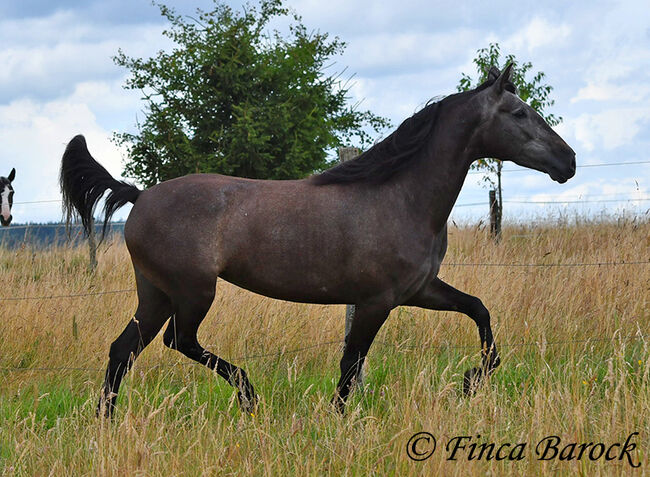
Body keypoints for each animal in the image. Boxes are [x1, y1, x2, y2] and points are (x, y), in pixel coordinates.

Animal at [59, 65, 572, 414]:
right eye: (518, 112)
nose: (567, 161)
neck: (401, 196)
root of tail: (140, 195)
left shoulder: (419, 291)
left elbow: (480, 312)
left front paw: (470, 381)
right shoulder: (375, 301)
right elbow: (350, 366)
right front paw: (338, 420)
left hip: (156, 292)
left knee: (123, 350)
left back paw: (107, 422)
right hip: (192, 291)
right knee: (178, 340)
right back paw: (248, 395)